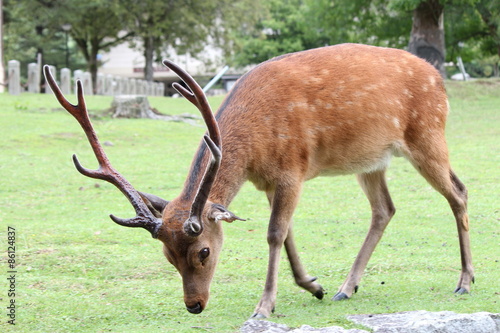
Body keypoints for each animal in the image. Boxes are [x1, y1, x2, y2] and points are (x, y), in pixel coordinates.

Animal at [44, 42, 472, 318]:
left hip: (427, 134)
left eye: (203, 251)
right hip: (371, 160)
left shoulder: (293, 169)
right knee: (385, 209)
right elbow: (288, 233)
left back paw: (465, 281)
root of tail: (439, 77)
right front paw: (313, 285)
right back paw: (345, 288)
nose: (194, 305)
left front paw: (264, 306)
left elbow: (274, 234)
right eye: (167, 257)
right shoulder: (269, 181)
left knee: (459, 192)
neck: (255, 145)